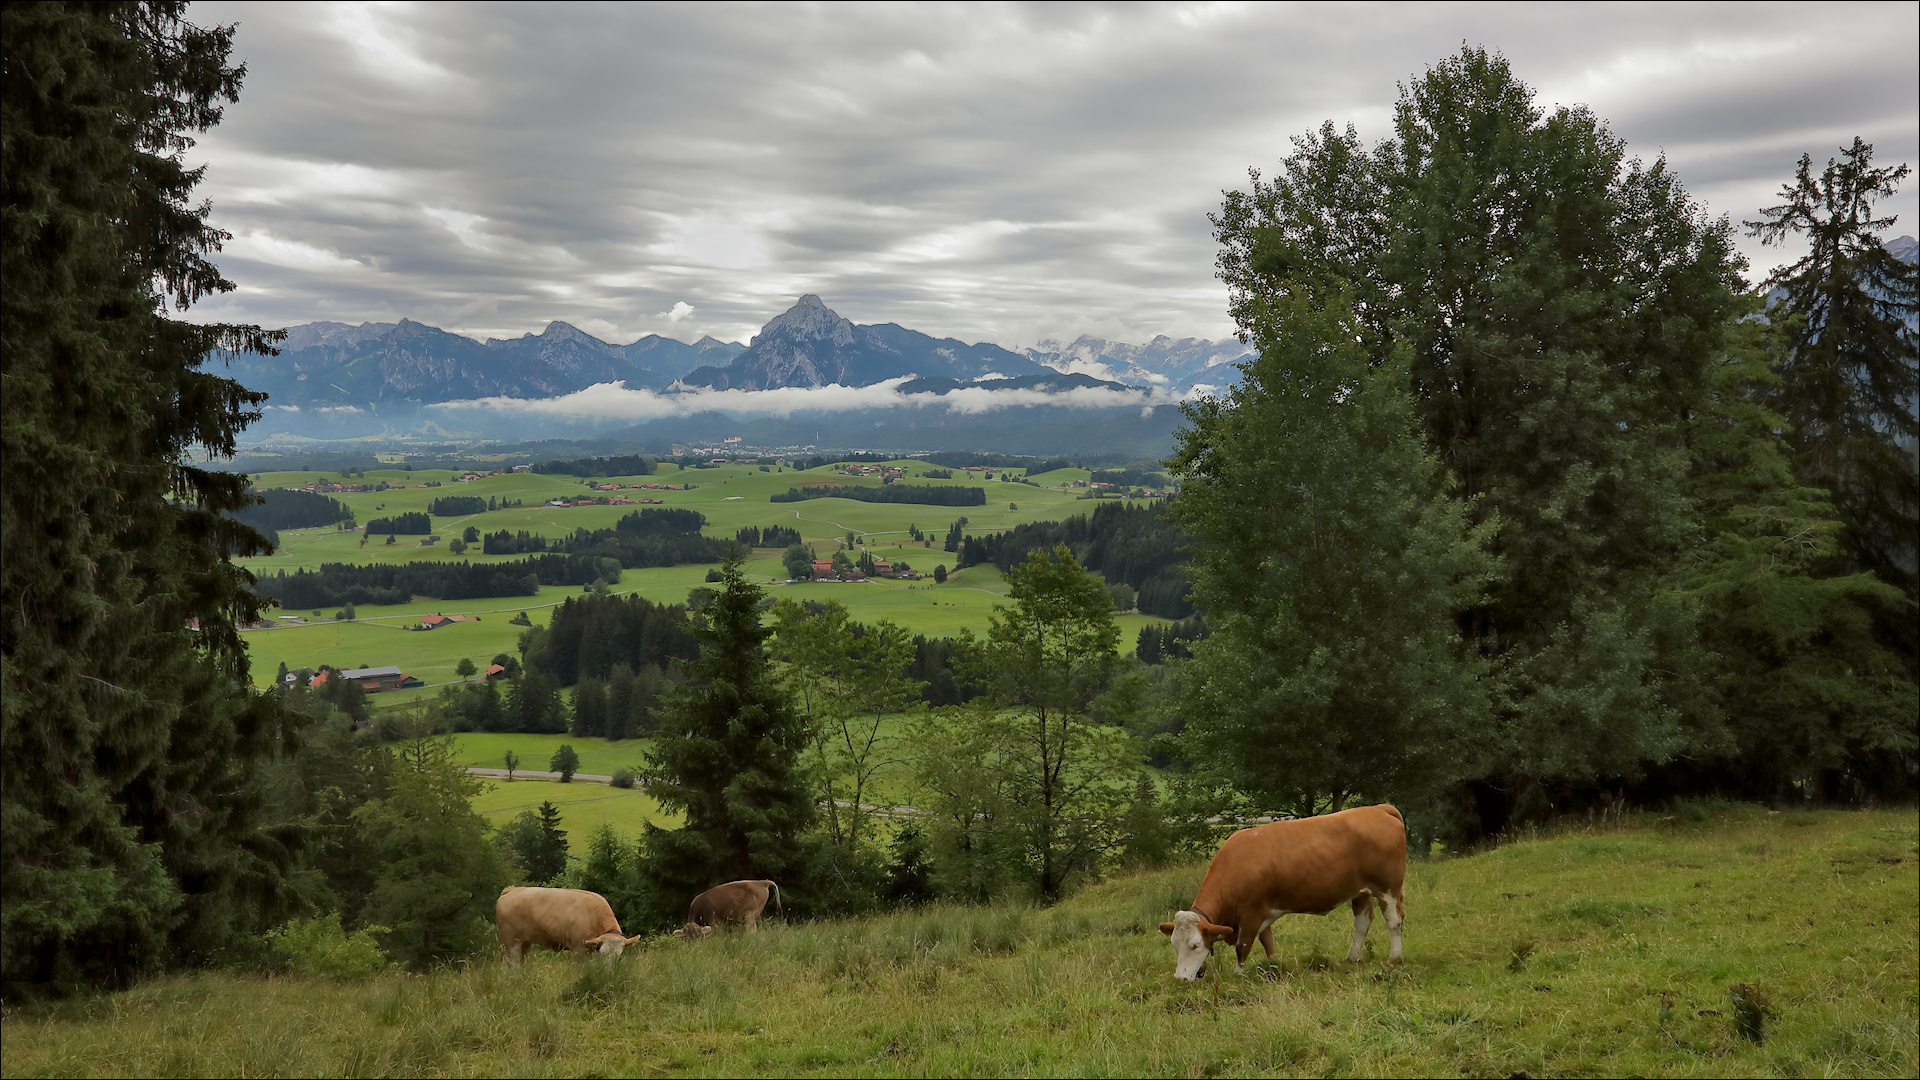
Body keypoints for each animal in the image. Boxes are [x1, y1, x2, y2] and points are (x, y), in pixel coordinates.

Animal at [495, 883, 645, 968]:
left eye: (618, 955)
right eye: (603, 954)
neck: (593, 916)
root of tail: (511, 890)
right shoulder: (578, 949)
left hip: (525, 942)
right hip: (512, 941)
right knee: (512, 962)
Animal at [1152, 799, 1413, 976]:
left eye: (1195, 945)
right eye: (1174, 944)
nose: (1181, 978)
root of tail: (1378, 808)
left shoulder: (1252, 913)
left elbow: (1243, 946)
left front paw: (1238, 974)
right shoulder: (1263, 912)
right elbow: (1267, 940)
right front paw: (1273, 964)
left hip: (1388, 888)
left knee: (1394, 920)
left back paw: (1395, 957)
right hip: (1361, 891)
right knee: (1362, 922)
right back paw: (1352, 957)